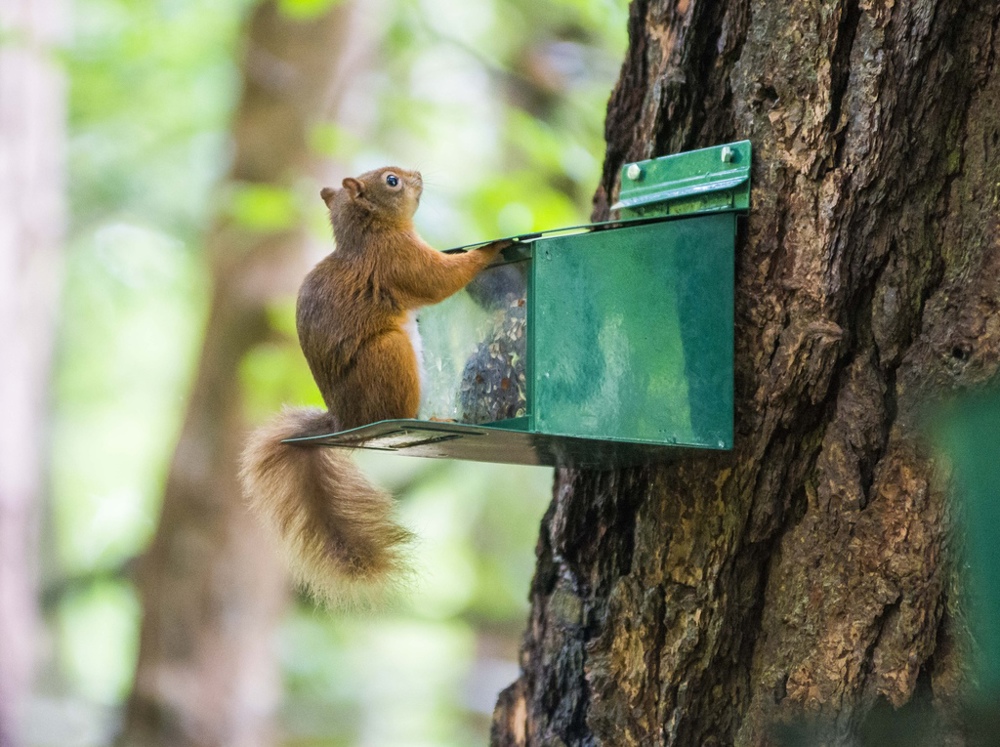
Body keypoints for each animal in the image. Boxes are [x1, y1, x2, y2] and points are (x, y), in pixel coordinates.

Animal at [239, 166, 511, 605]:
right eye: (391, 181)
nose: (418, 174)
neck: (369, 232)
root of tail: (345, 420)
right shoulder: (396, 259)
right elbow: (438, 279)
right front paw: (488, 251)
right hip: (390, 355)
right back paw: (430, 417)